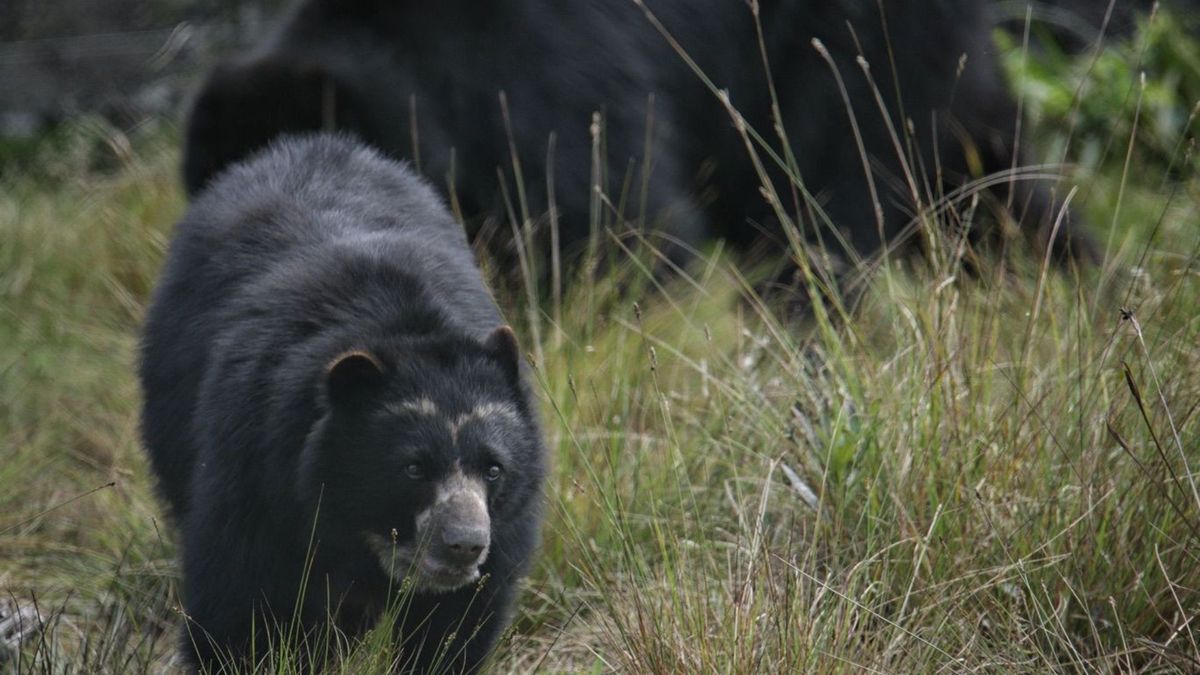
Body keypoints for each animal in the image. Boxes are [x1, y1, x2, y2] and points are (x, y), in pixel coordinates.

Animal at [139, 134, 546, 672]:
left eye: (495, 469)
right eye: (412, 468)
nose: (464, 544)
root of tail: (308, 144)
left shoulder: (506, 531)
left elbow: (458, 624)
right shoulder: (256, 466)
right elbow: (237, 599)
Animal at [181, 0, 1097, 300]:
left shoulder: (542, 81)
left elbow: (618, 230)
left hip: (838, 52)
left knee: (828, 195)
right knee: (983, 180)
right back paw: (1079, 281)